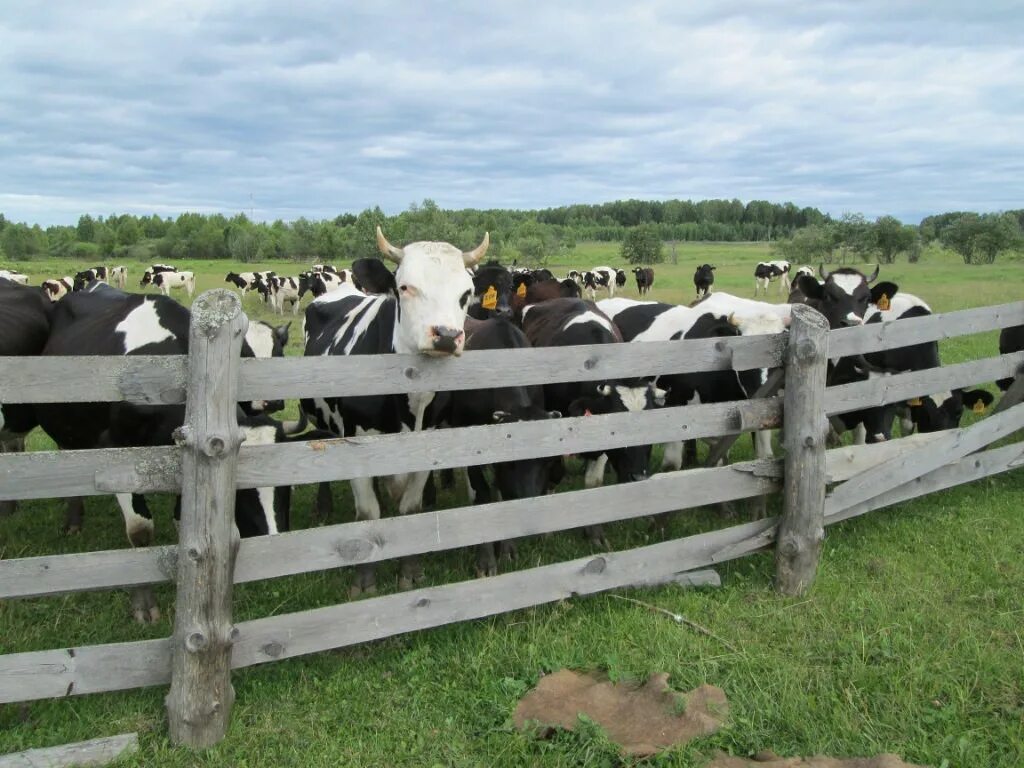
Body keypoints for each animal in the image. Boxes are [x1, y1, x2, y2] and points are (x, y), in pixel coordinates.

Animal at [301, 225, 489, 598]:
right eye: (405, 287)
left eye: (467, 293)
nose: (447, 335)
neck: (410, 399)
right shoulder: (357, 444)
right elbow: (367, 513)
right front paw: (364, 581)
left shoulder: (426, 445)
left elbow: (410, 509)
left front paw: (410, 573)